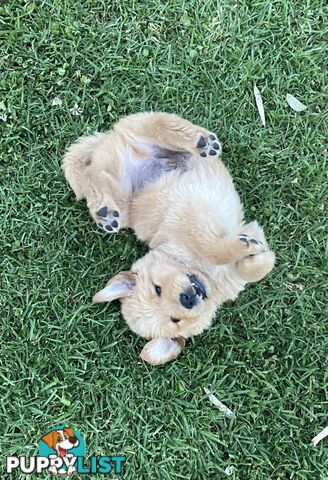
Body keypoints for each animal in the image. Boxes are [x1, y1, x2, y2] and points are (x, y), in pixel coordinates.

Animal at [62, 112, 274, 366]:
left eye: (157, 289)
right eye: (175, 319)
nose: (187, 299)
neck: (204, 272)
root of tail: (107, 139)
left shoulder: (189, 217)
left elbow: (219, 251)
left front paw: (256, 252)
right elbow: (227, 256)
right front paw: (255, 253)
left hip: (141, 130)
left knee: (159, 125)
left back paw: (200, 141)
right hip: (121, 189)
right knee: (93, 174)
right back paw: (104, 210)